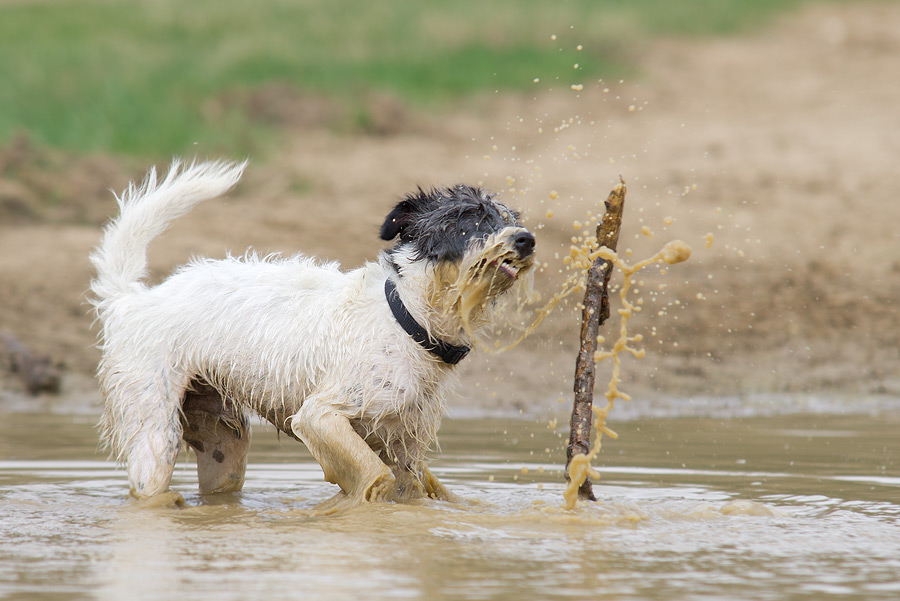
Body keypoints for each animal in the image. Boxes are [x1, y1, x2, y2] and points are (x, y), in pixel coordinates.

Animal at [89, 158, 536, 502]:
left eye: (509, 218)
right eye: (468, 218)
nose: (526, 239)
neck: (407, 318)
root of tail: (131, 300)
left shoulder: (406, 446)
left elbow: (411, 485)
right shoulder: (319, 416)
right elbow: (373, 477)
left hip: (223, 442)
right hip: (153, 432)